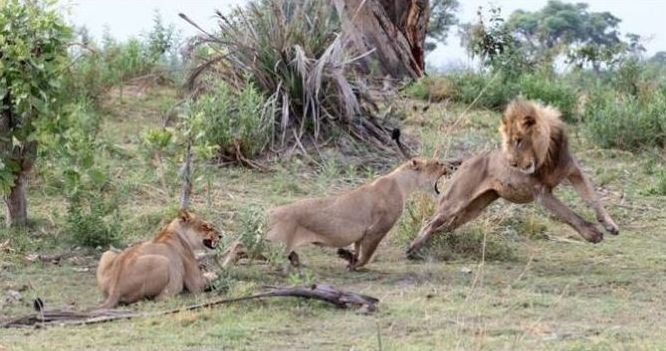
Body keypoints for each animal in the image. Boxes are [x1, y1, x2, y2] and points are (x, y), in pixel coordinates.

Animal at [264, 158, 456, 270]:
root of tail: (271, 212)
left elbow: (357, 248)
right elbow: (367, 254)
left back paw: (295, 258)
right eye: (438, 164)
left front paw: (348, 257)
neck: (402, 184)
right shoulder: (377, 229)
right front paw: (355, 264)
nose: (451, 166)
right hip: (278, 244)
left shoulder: (361, 233)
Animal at [404, 97, 616, 258]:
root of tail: (467, 160)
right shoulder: (542, 193)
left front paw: (610, 225)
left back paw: (426, 245)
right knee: (430, 222)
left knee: (444, 226)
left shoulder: (574, 171)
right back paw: (413, 248)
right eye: (507, 141)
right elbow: (568, 214)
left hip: (473, 209)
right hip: (455, 201)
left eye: (519, 140)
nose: (512, 163)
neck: (549, 154)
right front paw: (592, 234)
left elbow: (593, 198)